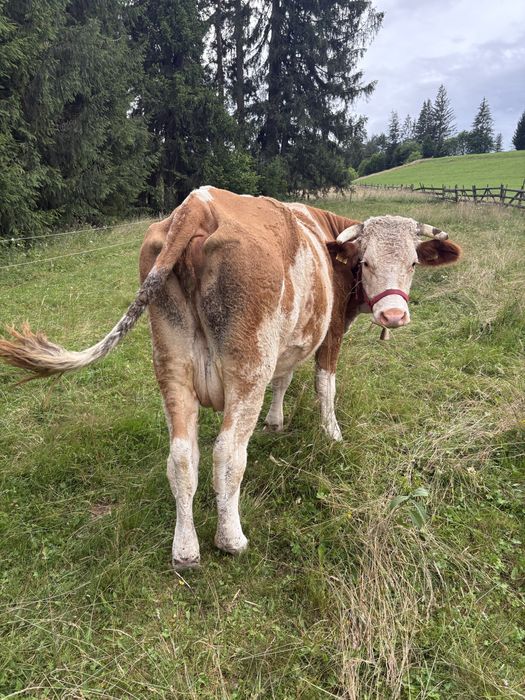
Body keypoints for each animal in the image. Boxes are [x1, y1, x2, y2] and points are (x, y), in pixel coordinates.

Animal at [0, 187, 461, 569]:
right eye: (366, 262)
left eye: (413, 263)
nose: (394, 315)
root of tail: (198, 204)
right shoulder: (328, 334)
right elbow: (324, 385)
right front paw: (331, 433)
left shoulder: (283, 348)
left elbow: (283, 379)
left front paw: (275, 422)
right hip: (246, 367)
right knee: (227, 454)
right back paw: (231, 539)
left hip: (171, 364)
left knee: (182, 456)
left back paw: (185, 550)